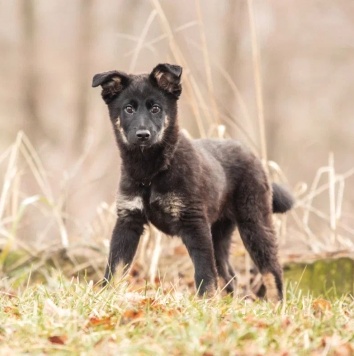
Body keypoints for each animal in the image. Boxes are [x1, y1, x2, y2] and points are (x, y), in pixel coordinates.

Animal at [92, 63, 294, 300]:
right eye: (128, 109)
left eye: (156, 108)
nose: (143, 135)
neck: (151, 172)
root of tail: (254, 156)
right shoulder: (128, 219)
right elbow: (115, 265)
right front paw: (106, 295)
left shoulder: (194, 222)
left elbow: (204, 271)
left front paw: (204, 299)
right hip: (219, 232)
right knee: (228, 275)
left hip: (254, 221)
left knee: (271, 270)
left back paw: (276, 303)